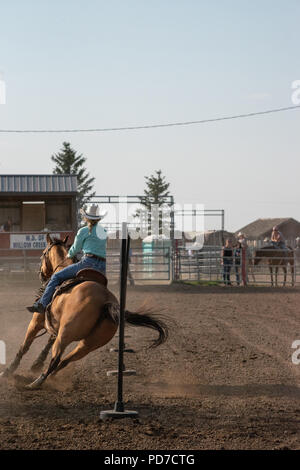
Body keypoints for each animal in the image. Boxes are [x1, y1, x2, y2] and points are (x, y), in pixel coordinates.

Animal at [0, 233, 169, 388]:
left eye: (43, 254)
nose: (41, 274)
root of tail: (106, 301)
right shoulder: (56, 325)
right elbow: (48, 342)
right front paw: (36, 363)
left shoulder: (37, 321)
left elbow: (24, 346)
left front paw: (8, 371)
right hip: (88, 344)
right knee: (65, 360)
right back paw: (49, 377)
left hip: (66, 334)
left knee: (56, 359)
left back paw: (35, 383)